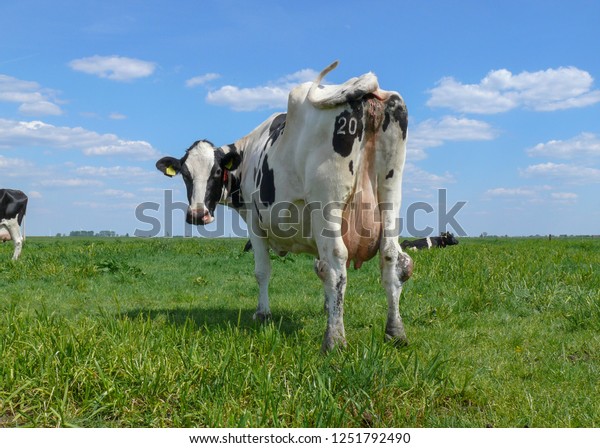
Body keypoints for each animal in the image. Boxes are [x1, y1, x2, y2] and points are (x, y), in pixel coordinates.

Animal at [157, 61, 414, 352]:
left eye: (215, 173)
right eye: (185, 175)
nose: (197, 215)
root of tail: (367, 87)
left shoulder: (255, 222)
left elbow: (262, 271)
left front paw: (263, 314)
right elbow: (319, 269)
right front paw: (327, 308)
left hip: (327, 201)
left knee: (336, 263)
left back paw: (335, 340)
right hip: (390, 196)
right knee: (393, 258)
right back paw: (395, 332)